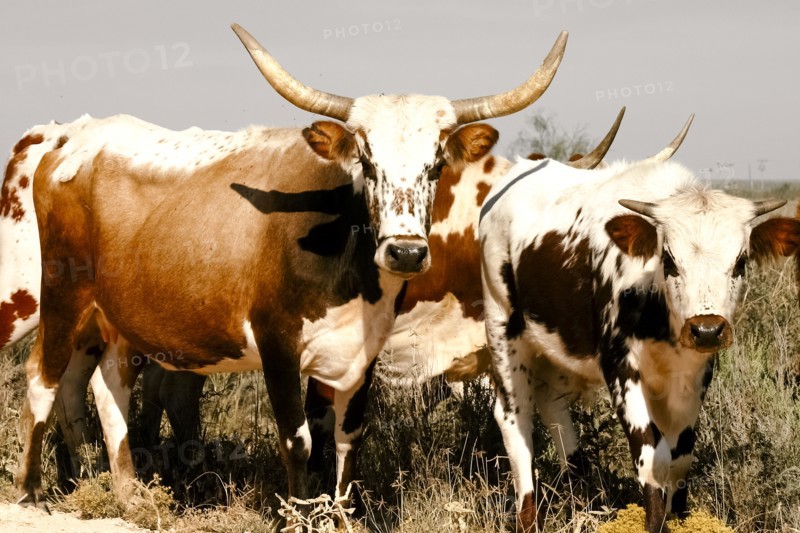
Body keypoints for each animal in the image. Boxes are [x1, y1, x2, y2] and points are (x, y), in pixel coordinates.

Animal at [14, 22, 569, 509]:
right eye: (367, 163)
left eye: (435, 167)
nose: (406, 253)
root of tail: (66, 144)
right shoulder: (277, 343)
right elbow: (297, 439)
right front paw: (300, 513)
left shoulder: (363, 351)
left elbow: (348, 438)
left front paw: (340, 515)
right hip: (62, 298)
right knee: (42, 379)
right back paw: (31, 490)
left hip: (119, 319)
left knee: (109, 393)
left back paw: (131, 498)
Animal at [477, 141, 800, 532]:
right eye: (669, 260)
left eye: (740, 262)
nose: (707, 329)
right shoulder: (621, 369)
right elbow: (653, 457)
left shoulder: (694, 374)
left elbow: (680, 458)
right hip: (503, 330)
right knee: (516, 417)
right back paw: (528, 516)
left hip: (559, 345)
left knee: (551, 403)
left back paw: (581, 491)